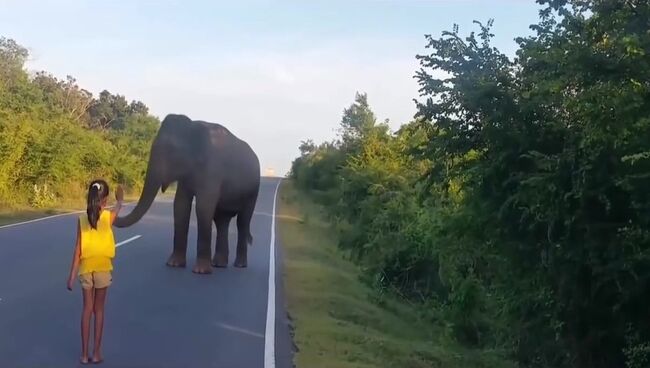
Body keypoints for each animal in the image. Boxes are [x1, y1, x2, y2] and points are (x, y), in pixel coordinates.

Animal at [114, 113, 258, 274]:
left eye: (170, 151)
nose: (117, 190)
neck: (193, 126)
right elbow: (180, 205)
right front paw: (174, 264)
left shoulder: (212, 170)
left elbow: (203, 207)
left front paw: (200, 271)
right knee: (222, 221)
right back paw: (219, 264)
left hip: (252, 191)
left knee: (242, 222)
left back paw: (239, 264)